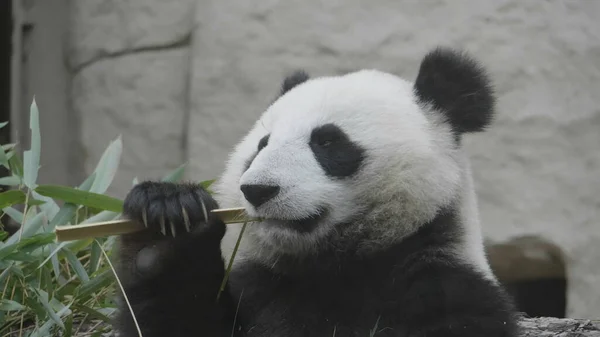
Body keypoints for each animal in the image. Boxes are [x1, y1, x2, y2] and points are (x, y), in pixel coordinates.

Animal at [115, 47, 516, 336]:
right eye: (261, 145)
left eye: (327, 142)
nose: (257, 190)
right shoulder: (261, 291)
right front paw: (166, 223)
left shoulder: (445, 292)